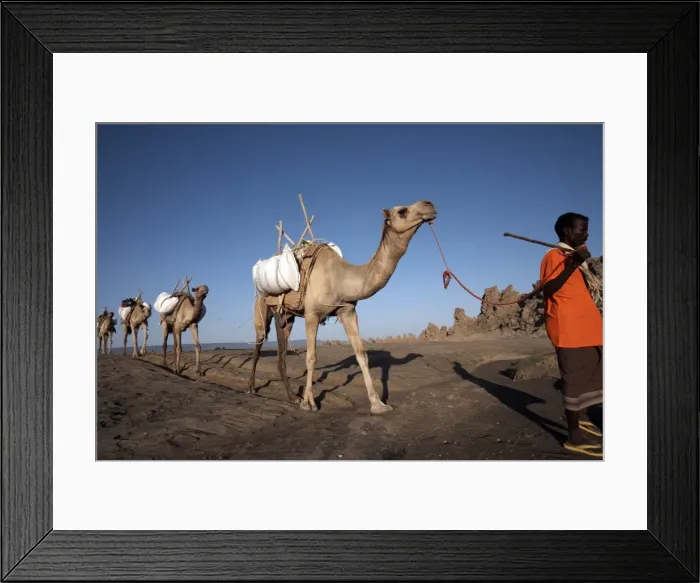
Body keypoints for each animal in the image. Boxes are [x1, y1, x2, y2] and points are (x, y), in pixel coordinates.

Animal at [247, 199, 437, 415]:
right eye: (402, 211)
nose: (429, 205)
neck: (341, 278)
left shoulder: (348, 312)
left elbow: (361, 355)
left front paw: (378, 404)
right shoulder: (312, 314)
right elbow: (311, 357)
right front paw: (309, 403)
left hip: (286, 317)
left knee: (281, 354)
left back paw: (291, 396)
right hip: (262, 308)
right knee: (258, 345)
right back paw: (252, 388)